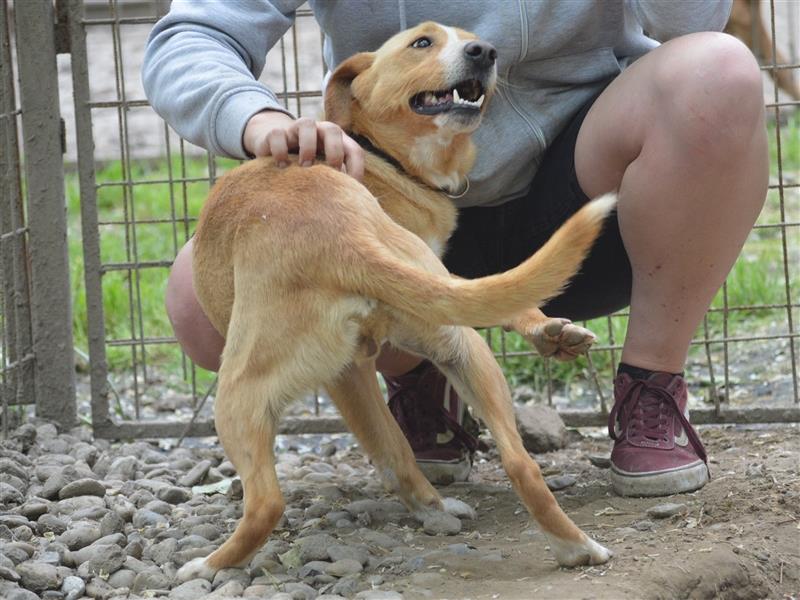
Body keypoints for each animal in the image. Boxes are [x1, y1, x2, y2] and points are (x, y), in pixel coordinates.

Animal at [180, 23, 612, 580]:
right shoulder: (437, 287)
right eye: (422, 43)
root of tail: (338, 238)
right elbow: (495, 297)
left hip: (244, 394)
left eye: (467, 39)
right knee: (518, 462)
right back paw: (571, 546)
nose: (485, 51)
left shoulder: (351, 372)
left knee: (267, 504)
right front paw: (551, 331)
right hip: (457, 348)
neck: (387, 162)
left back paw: (207, 566)